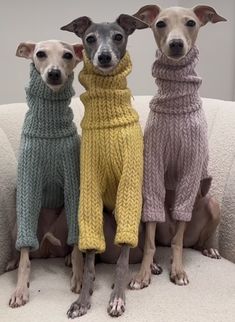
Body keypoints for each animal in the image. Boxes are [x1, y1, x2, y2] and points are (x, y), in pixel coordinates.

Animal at [8, 39, 84, 306]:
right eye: (40, 54)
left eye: (68, 55)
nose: (54, 73)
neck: (49, 129)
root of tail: (47, 250)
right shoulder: (28, 182)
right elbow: (25, 259)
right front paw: (20, 289)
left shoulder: (73, 183)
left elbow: (78, 244)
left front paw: (79, 276)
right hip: (18, 224)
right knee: (24, 247)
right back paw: (12, 262)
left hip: (64, 222)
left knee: (70, 244)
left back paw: (70, 258)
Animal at [61, 14, 149, 316]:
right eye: (90, 38)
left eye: (118, 36)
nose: (104, 56)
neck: (108, 116)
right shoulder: (89, 188)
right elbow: (89, 259)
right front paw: (82, 300)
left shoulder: (129, 186)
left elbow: (123, 259)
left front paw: (117, 297)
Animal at [129, 4, 227, 290]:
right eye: (160, 23)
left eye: (191, 23)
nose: (175, 44)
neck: (175, 102)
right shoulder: (152, 166)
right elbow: (150, 240)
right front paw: (143, 273)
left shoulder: (191, 169)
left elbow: (178, 240)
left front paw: (179, 270)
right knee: (154, 239)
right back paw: (154, 263)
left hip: (212, 204)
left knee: (188, 241)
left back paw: (208, 249)